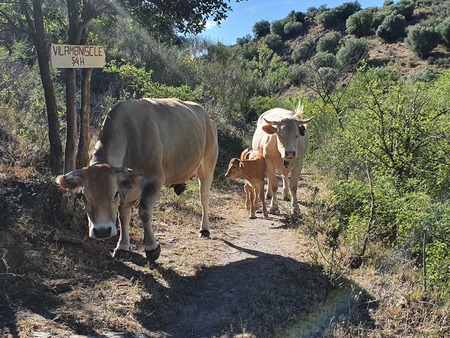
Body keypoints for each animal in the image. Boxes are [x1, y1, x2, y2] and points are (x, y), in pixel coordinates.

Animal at [55, 97, 218, 262]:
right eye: (83, 196)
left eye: (114, 194)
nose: (102, 231)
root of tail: (208, 118)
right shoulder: (127, 188)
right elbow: (123, 216)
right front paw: (122, 246)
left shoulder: (154, 181)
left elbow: (144, 212)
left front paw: (152, 247)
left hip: (207, 167)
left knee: (204, 198)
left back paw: (205, 229)